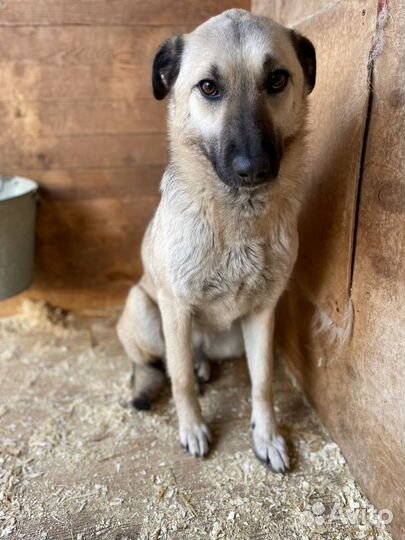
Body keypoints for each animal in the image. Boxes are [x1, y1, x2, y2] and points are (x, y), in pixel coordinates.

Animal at [117, 8, 316, 472]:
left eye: (277, 79)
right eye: (209, 87)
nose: (254, 168)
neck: (238, 223)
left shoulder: (262, 315)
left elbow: (263, 382)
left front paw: (267, 436)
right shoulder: (175, 309)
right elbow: (181, 380)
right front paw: (193, 428)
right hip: (144, 307)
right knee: (157, 362)